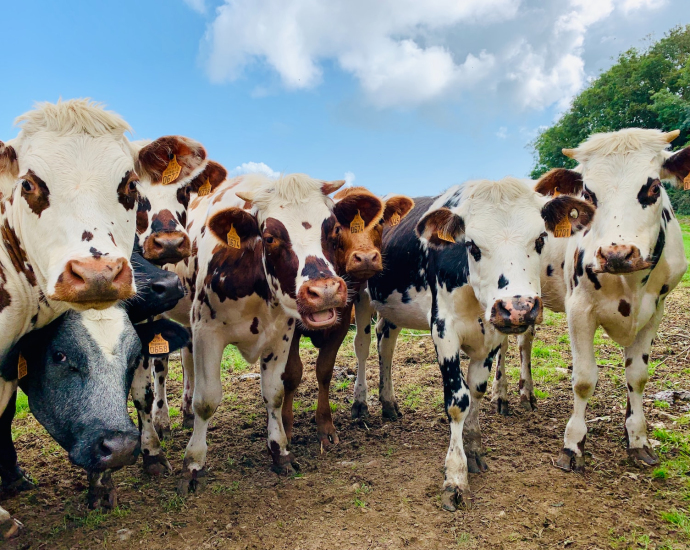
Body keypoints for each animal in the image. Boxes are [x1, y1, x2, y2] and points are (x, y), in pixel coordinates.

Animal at [280, 189, 414, 448]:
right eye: (337, 228)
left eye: (379, 223)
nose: (366, 258)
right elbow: (292, 373)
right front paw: (286, 428)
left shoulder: (342, 322)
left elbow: (324, 370)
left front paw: (325, 426)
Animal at [352, 179, 588, 512]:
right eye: (472, 245)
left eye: (540, 239)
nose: (517, 308)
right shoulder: (443, 329)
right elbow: (457, 400)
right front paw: (455, 476)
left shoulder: (492, 335)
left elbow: (476, 389)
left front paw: (474, 447)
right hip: (359, 293)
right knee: (362, 345)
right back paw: (360, 403)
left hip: (392, 306)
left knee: (386, 341)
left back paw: (388, 402)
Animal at [524, 129, 684, 474]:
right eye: (587, 193)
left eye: (654, 187)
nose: (616, 254)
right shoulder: (579, 309)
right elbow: (584, 379)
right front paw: (573, 445)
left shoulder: (655, 311)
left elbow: (637, 376)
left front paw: (637, 439)